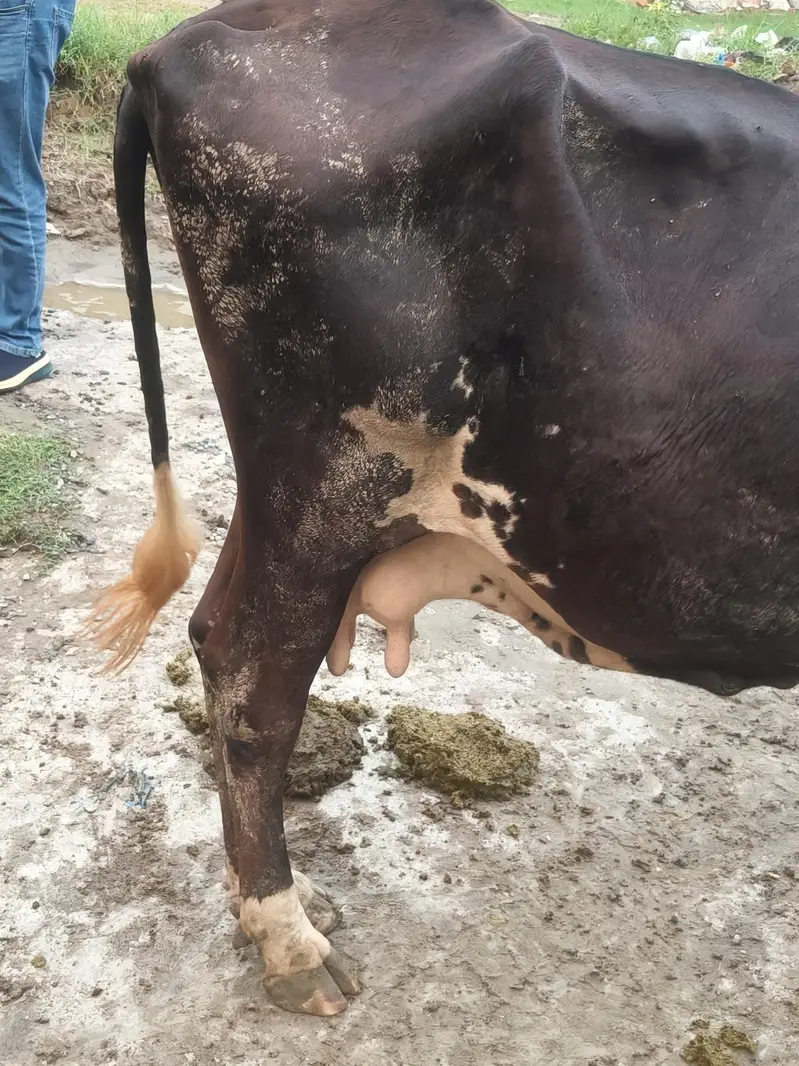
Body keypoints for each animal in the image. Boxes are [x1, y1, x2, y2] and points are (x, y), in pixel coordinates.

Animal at [84, 0, 799, 1017]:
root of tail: (177, 43)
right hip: (328, 478)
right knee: (252, 681)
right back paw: (289, 942)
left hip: (297, 501)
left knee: (213, 633)